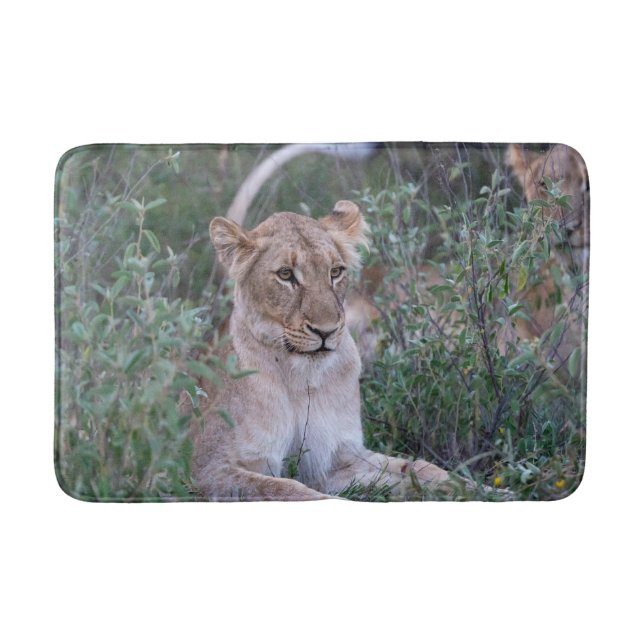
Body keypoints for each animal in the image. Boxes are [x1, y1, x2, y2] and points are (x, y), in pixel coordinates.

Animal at [190, 200, 457, 501]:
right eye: (285, 274)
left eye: (335, 272)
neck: (301, 376)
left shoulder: (335, 460)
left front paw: (462, 484)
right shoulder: (208, 469)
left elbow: (415, 467)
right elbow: (290, 490)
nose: (326, 331)